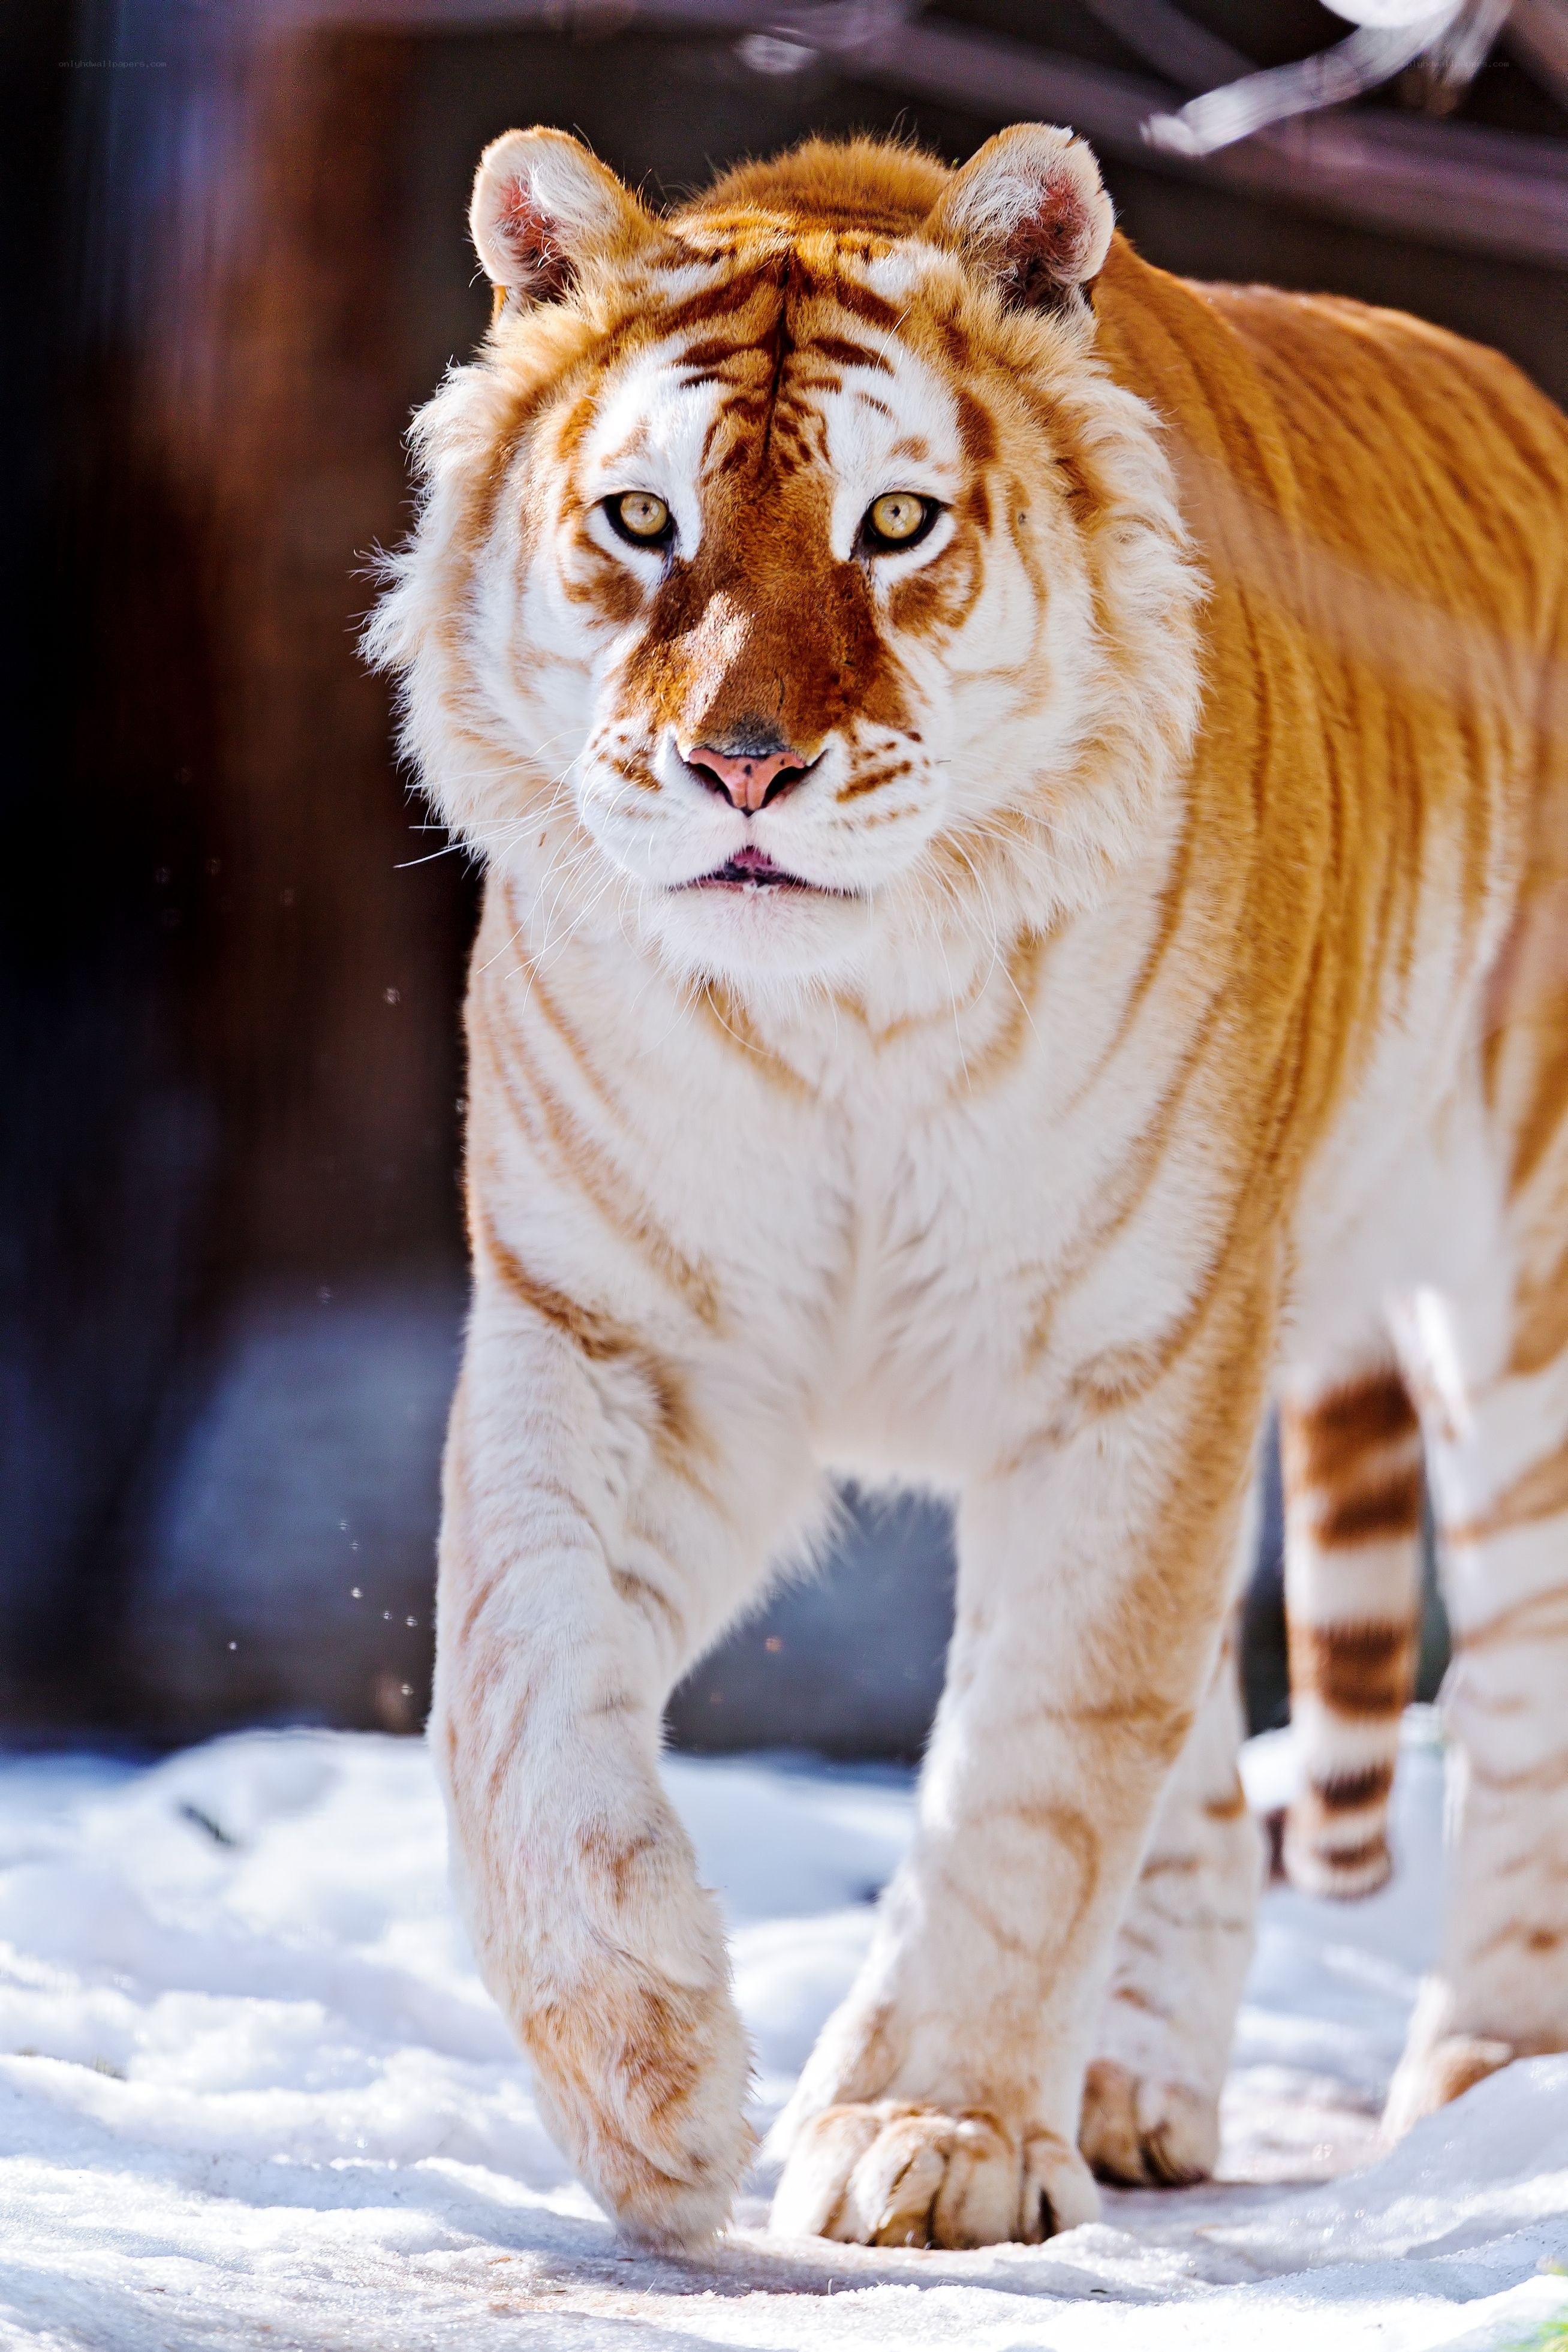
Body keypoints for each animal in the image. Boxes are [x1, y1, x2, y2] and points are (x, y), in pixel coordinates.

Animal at [366, 120, 1568, 2251]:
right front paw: (650, 2083)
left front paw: (927, 2134)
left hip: (1517, 1301)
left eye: (896, 520)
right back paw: (1133, 2087)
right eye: (644, 520)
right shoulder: (619, 1333)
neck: (839, 1017)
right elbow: (512, 1684)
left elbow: (1037, 1761)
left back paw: (1491, 2076)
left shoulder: (1137, 1358)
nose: (743, 767)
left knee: (1518, 1699)